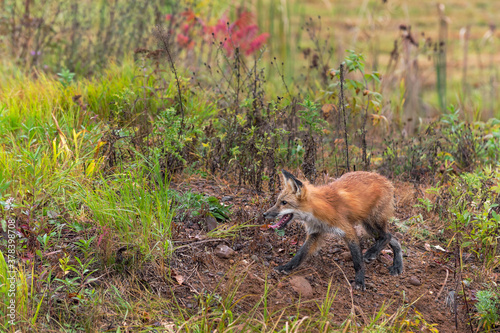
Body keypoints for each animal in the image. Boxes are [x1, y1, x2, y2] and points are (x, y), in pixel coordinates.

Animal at [266, 170, 402, 290]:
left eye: (284, 202)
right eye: (277, 201)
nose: (264, 214)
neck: (318, 209)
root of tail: (385, 179)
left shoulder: (348, 230)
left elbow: (357, 261)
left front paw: (359, 280)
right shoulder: (315, 232)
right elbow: (300, 254)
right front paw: (285, 267)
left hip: (372, 223)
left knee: (387, 236)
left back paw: (372, 253)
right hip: (369, 227)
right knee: (394, 238)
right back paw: (397, 265)